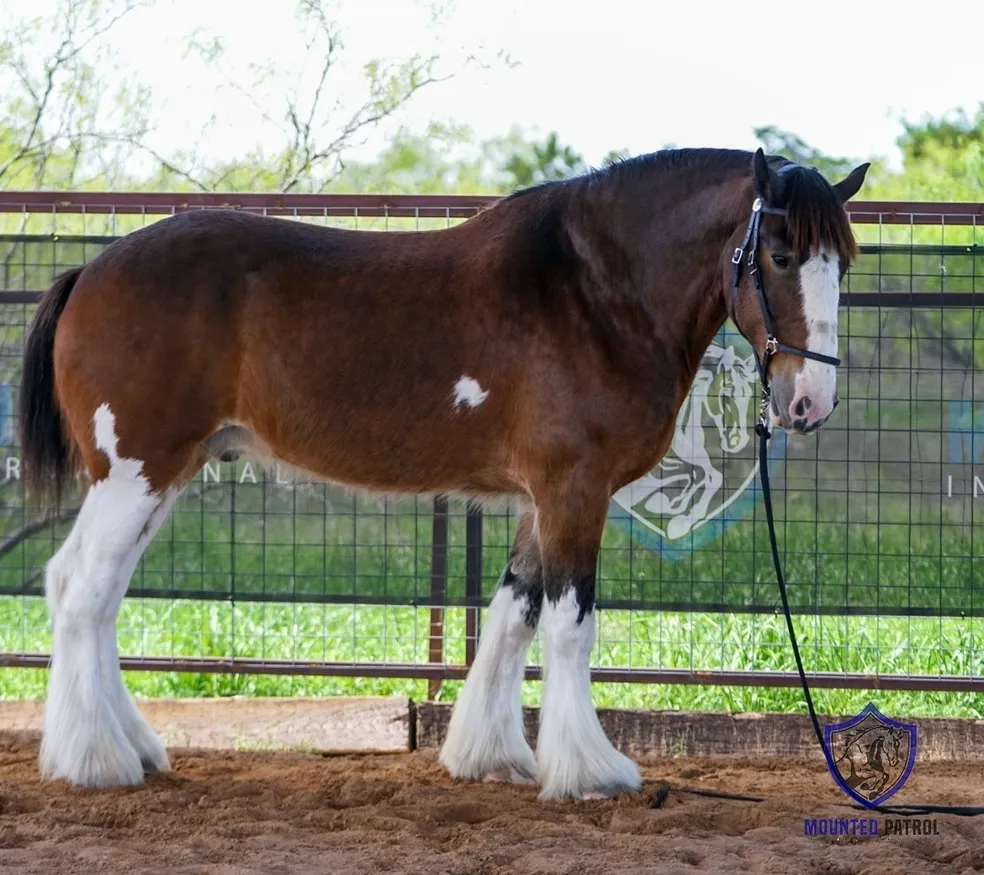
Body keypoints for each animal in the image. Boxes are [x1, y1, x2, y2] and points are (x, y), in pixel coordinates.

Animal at [17, 146, 869, 800]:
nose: (810, 401)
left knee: (87, 593)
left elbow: (513, 613)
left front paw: (492, 756)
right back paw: (95, 761)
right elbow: (570, 625)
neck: (596, 292)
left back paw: (129, 746)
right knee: (84, 590)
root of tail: (89, 270)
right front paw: (588, 770)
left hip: (158, 476)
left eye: (844, 262)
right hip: (137, 474)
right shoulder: (574, 488)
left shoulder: (538, 498)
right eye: (780, 255)